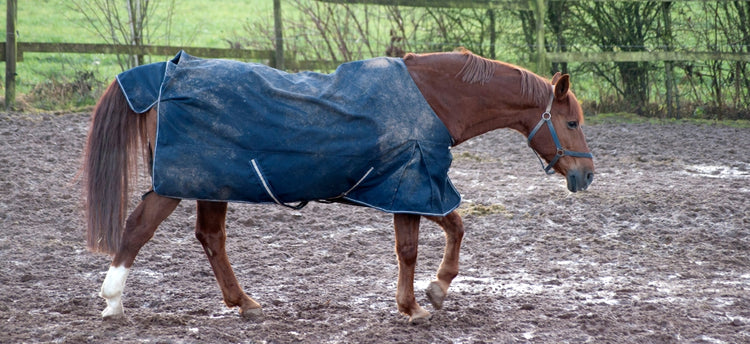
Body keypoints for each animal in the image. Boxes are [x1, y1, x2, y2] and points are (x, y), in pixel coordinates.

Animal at [82, 49, 596, 324]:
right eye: (571, 122)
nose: (586, 175)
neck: (435, 99)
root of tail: (167, 73)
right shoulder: (412, 185)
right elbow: (413, 248)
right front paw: (415, 305)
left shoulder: (419, 187)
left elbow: (455, 227)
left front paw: (436, 289)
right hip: (180, 183)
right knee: (138, 228)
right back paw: (112, 302)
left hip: (213, 185)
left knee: (210, 239)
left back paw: (244, 304)